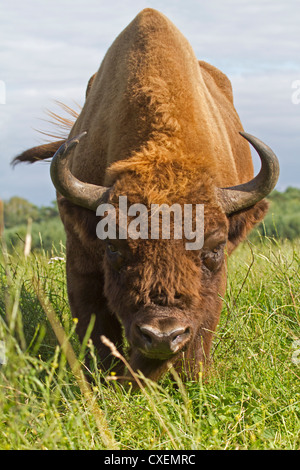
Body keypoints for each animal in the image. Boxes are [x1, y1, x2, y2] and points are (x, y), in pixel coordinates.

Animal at [14, 9, 278, 382]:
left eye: (213, 249)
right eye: (113, 246)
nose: (162, 334)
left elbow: (201, 329)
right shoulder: (81, 258)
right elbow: (97, 327)